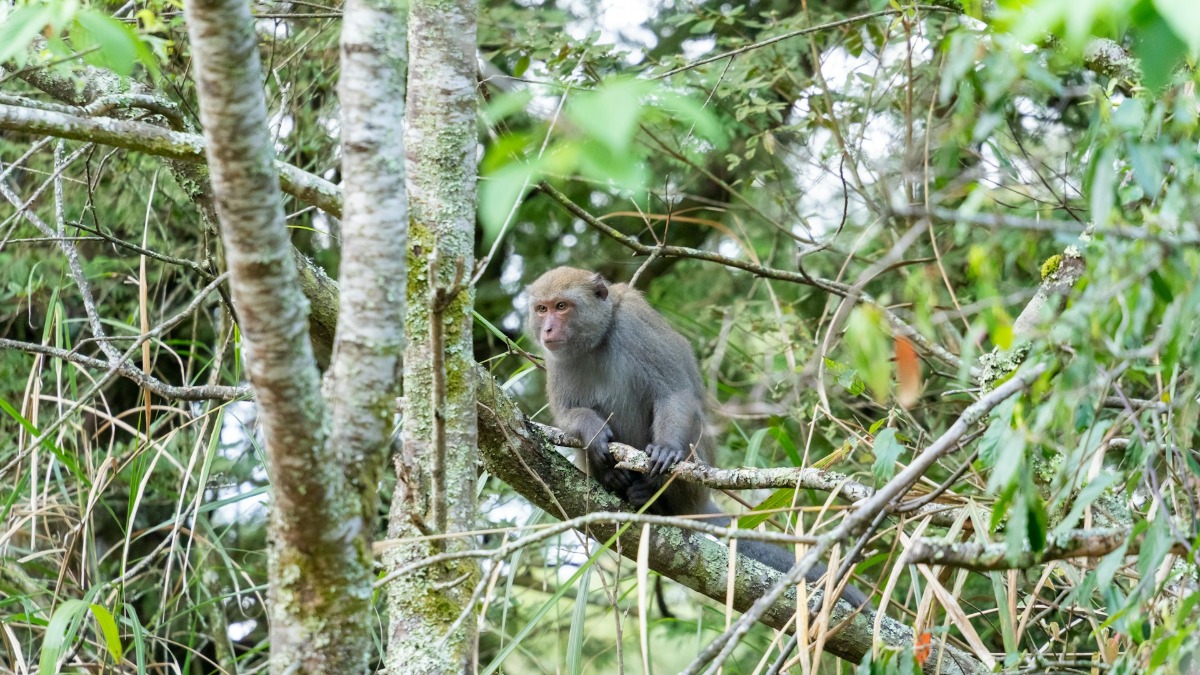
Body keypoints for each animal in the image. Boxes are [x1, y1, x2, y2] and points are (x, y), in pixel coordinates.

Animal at [530, 265, 868, 607]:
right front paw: (593, 431)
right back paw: (614, 479)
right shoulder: (556, 360)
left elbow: (674, 393)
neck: (597, 339)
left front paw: (665, 449)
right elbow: (568, 416)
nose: (547, 329)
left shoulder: (634, 325)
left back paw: (654, 493)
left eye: (562, 306)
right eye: (542, 308)